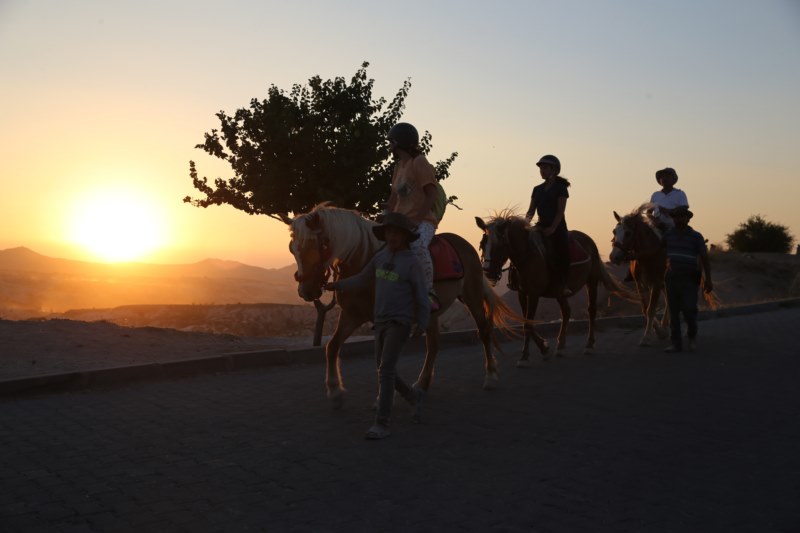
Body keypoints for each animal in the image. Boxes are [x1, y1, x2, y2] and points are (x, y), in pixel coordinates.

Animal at [288, 204, 524, 416]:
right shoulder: (351, 315)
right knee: (434, 344)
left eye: (316, 244)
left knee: (483, 331)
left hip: (472, 296)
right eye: (293, 248)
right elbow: (332, 347)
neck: (366, 261)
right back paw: (421, 384)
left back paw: (490, 376)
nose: (305, 290)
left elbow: (384, 360)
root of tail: (465, 245)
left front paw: (382, 398)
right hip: (432, 313)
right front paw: (336, 393)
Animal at [476, 210, 636, 364]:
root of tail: (589, 241)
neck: (528, 256)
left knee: (591, 310)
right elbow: (526, 322)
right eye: (482, 244)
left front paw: (525, 356)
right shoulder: (521, 293)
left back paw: (589, 345)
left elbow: (528, 324)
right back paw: (560, 346)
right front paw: (543, 348)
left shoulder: (533, 294)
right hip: (559, 291)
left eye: (499, 246)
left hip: (591, 281)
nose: (488, 273)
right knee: (566, 311)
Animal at [608, 203, 672, 344]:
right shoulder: (640, 284)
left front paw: (648, 336)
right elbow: (645, 309)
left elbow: (650, 310)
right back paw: (665, 327)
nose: (614, 257)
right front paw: (658, 330)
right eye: (614, 231)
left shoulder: (656, 283)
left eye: (628, 233)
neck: (647, 255)